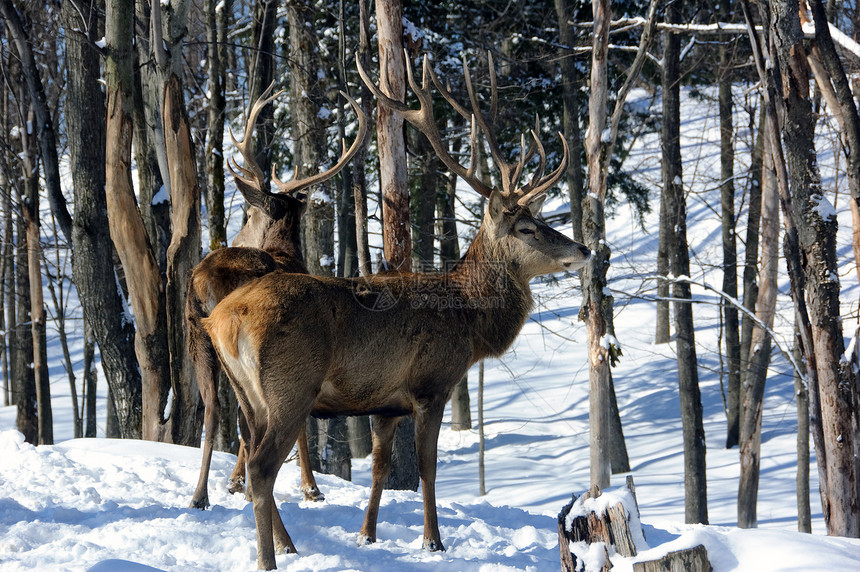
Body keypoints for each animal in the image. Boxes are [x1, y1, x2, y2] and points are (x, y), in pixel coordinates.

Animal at [186, 86, 368, 510]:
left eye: (248, 215)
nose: (237, 235)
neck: (286, 254)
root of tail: (202, 280)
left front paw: (234, 483)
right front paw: (310, 488)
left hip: (198, 337)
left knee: (214, 409)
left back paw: (201, 495)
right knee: (245, 417)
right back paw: (244, 486)